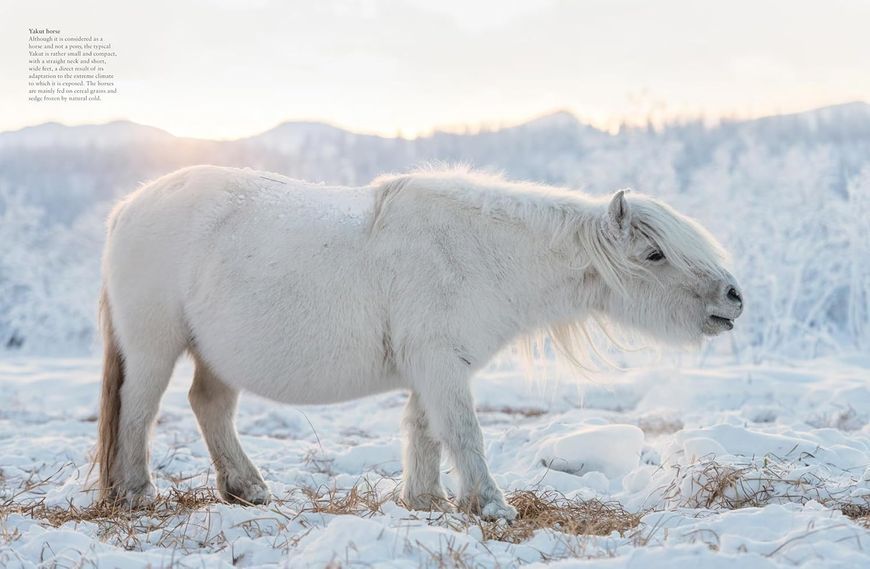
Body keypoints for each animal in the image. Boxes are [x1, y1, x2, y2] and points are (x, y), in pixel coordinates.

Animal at [95, 165, 743, 520]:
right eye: (655, 254)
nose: (734, 298)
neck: (480, 253)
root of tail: (128, 208)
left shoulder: (437, 366)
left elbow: (425, 431)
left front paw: (427, 501)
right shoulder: (439, 363)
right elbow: (462, 432)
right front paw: (491, 506)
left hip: (217, 355)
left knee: (209, 407)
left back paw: (248, 489)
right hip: (154, 348)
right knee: (139, 412)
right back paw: (138, 493)